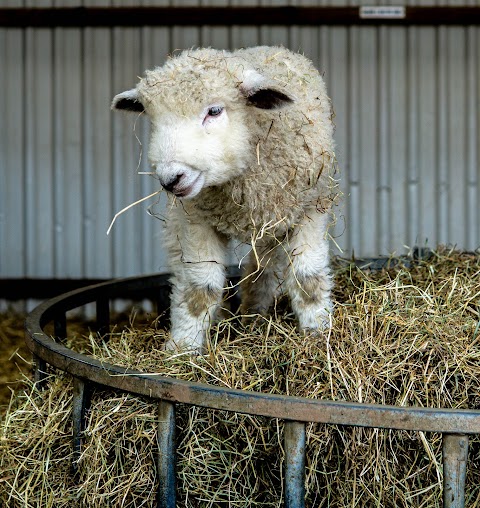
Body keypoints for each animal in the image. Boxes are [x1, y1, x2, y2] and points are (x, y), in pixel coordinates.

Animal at [112, 45, 338, 352]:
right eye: (154, 119)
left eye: (215, 111)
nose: (171, 179)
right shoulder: (195, 219)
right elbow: (200, 288)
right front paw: (183, 348)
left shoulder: (310, 210)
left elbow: (308, 279)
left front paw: (318, 335)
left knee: (263, 267)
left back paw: (255, 313)